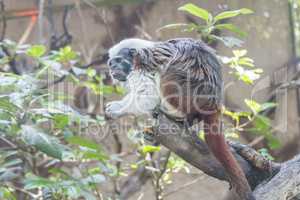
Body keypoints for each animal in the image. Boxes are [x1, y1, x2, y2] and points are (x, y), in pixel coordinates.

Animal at [105, 38, 255, 200]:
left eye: (118, 61)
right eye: (111, 64)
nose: (113, 70)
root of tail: (214, 102)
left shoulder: (141, 68)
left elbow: (147, 96)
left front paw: (117, 110)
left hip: (189, 93)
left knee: (169, 77)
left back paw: (174, 113)